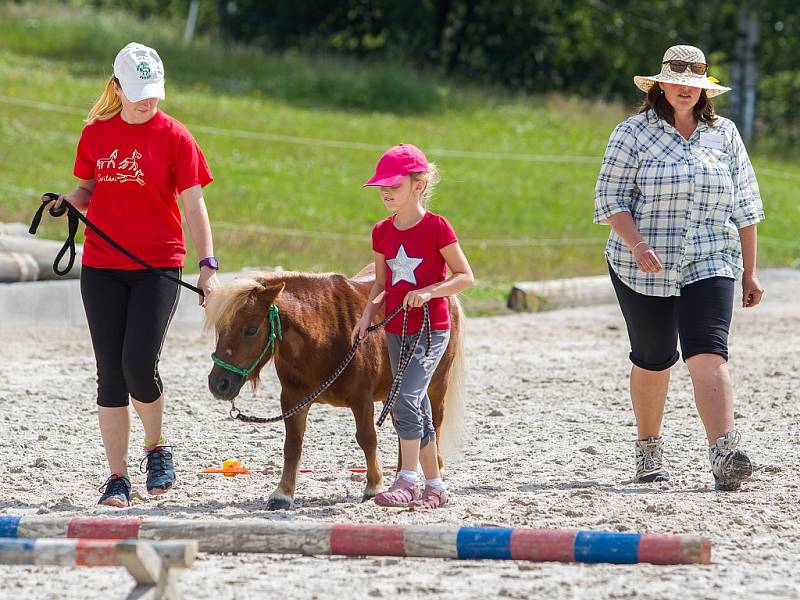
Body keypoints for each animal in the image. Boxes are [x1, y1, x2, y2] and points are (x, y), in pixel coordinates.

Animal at [206, 270, 466, 508]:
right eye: (220, 328)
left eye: (251, 329)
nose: (218, 384)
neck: (323, 335)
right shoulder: (292, 400)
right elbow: (292, 445)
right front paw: (283, 494)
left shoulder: (361, 400)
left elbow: (367, 438)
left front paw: (373, 486)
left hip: (434, 384)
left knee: (434, 423)